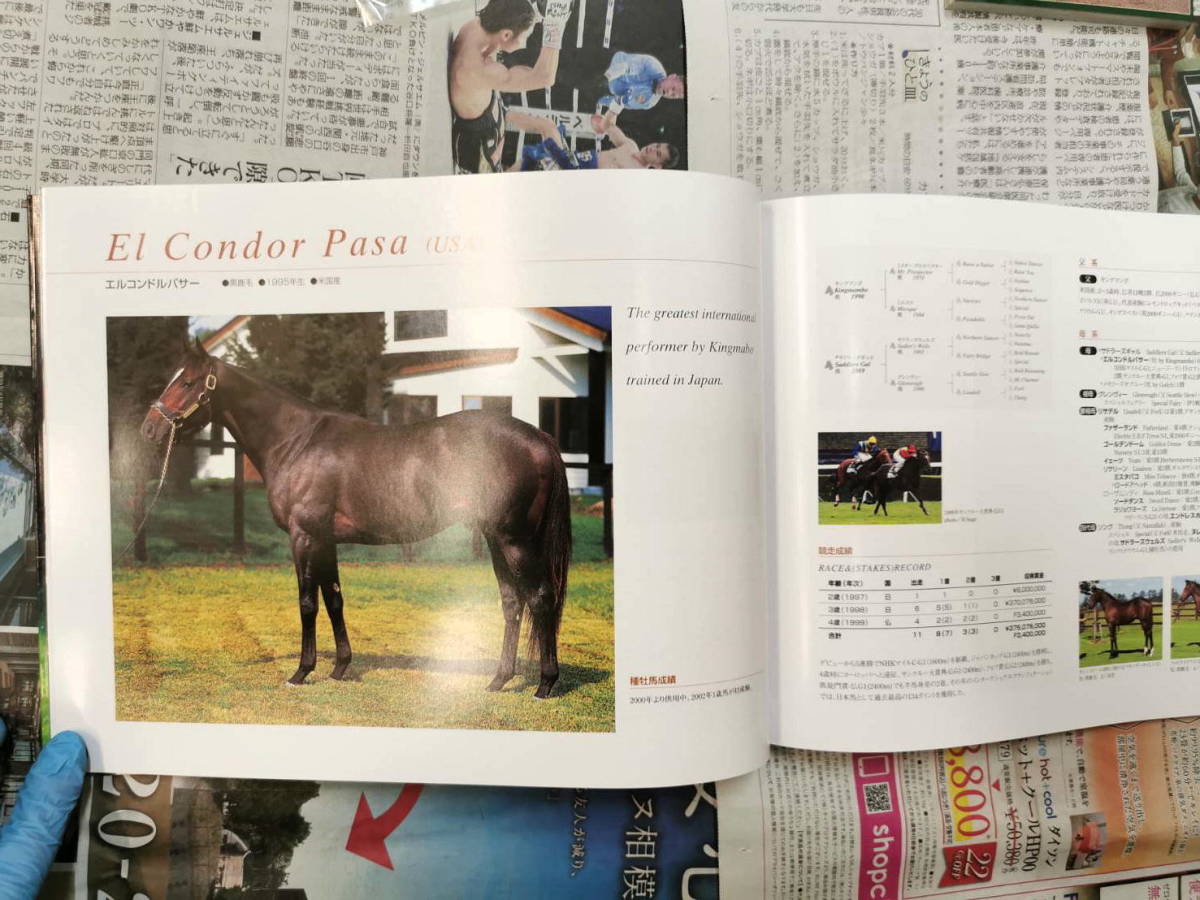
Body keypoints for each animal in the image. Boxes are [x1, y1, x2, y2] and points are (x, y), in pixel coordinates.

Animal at [139, 339, 572, 698]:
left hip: (515, 539)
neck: (296, 442)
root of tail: (538, 437)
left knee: (540, 597)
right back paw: (499, 680)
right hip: (496, 538)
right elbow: (334, 599)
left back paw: (545, 684)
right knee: (512, 602)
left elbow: (307, 602)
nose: (149, 429)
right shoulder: (325, 539)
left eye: (188, 382)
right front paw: (339, 668)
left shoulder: (303, 535)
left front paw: (301, 672)